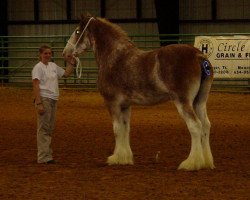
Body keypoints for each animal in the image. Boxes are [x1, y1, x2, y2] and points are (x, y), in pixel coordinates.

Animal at [62, 14, 215, 170]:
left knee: (195, 126)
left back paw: (191, 163)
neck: (114, 57)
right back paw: (206, 162)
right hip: (199, 102)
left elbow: (117, 129)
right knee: (205, 125)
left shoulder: (112, 103)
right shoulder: (125, 105)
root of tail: (198, 56)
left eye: (77, 32)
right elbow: (125, 128)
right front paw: (124, 158)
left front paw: (115, 158)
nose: (65, 53)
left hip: (183, 101)